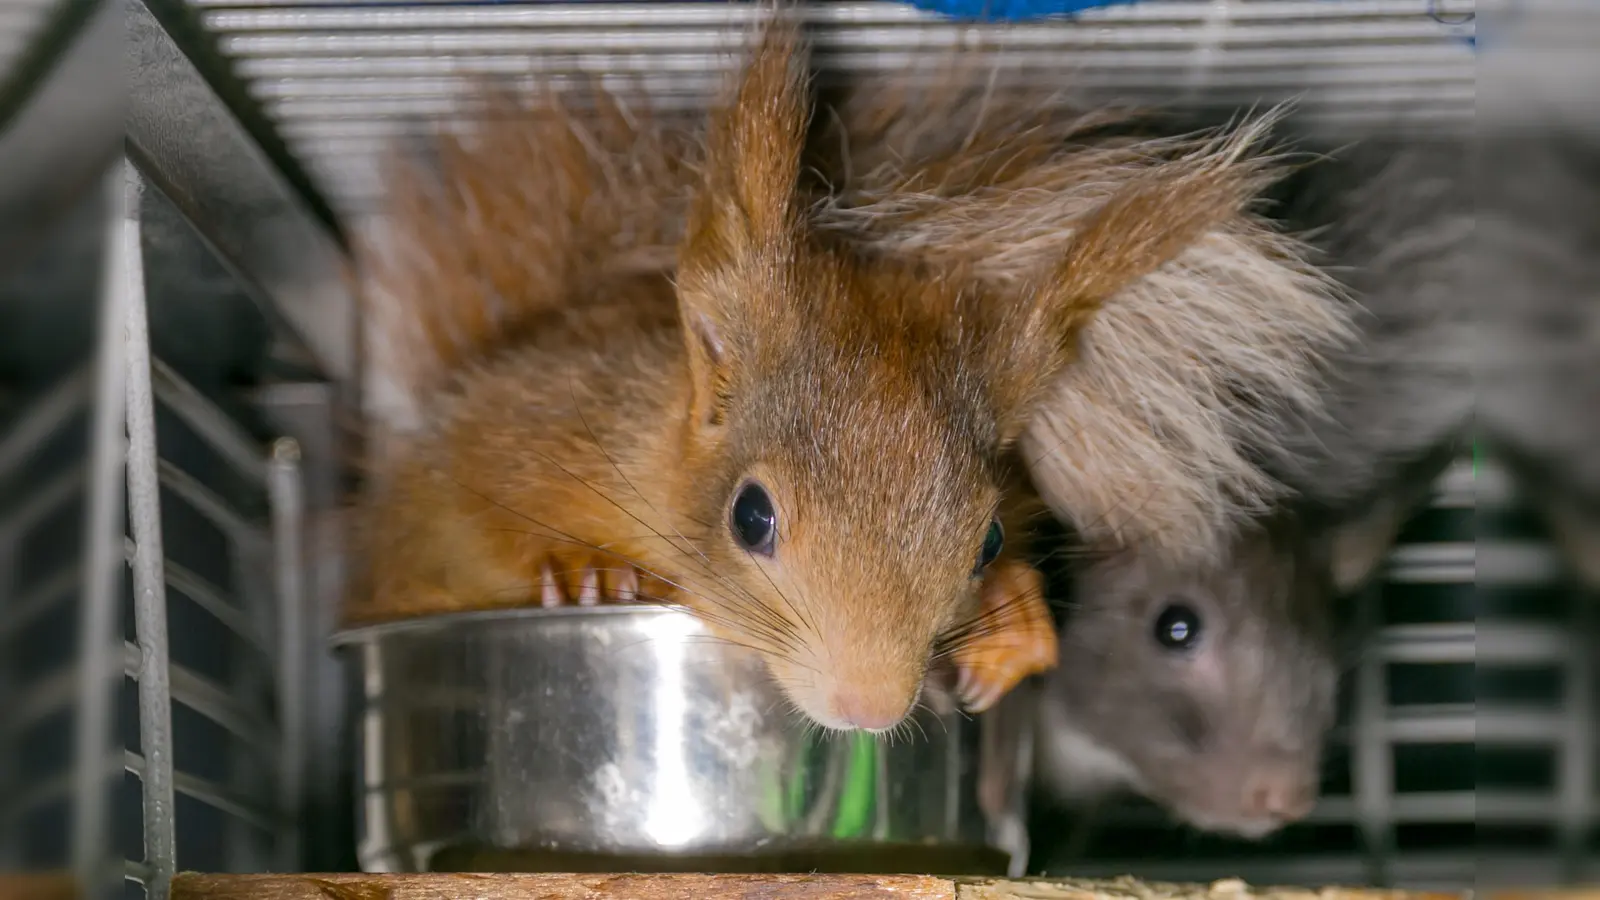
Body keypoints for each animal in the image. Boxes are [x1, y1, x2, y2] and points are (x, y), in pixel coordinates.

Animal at [346, 13, 1328, 733]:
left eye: (987, 542)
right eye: (750, 516)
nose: (869, 706)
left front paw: (1015, 621)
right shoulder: (529, 427)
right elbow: (470, 512)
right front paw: (590, 572)